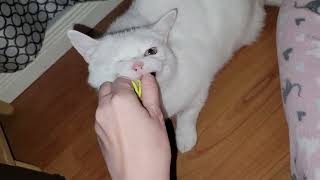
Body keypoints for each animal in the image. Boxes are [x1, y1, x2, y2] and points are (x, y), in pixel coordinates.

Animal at [68, 0, 282, 152]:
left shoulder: (200, 83)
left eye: (151, 51)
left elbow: (188, 113)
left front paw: (184, 137)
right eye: (118, 60)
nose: (138, 65)